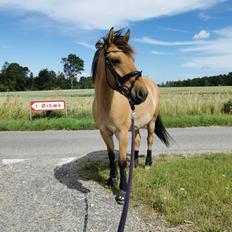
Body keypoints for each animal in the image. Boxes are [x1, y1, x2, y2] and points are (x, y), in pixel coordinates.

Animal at [92, 28, 170, 204]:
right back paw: (134, 163)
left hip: (151, 122)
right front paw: (111, 179)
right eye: (115, 60)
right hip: (136, 125)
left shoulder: (121, 133)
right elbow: (111, 157)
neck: (107, 103)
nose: (142, 93)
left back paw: (147, 163)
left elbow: (121, 161)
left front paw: (122, 190)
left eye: (132, 59)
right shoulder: (104, 132)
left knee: (149, 141)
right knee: (138, 140)